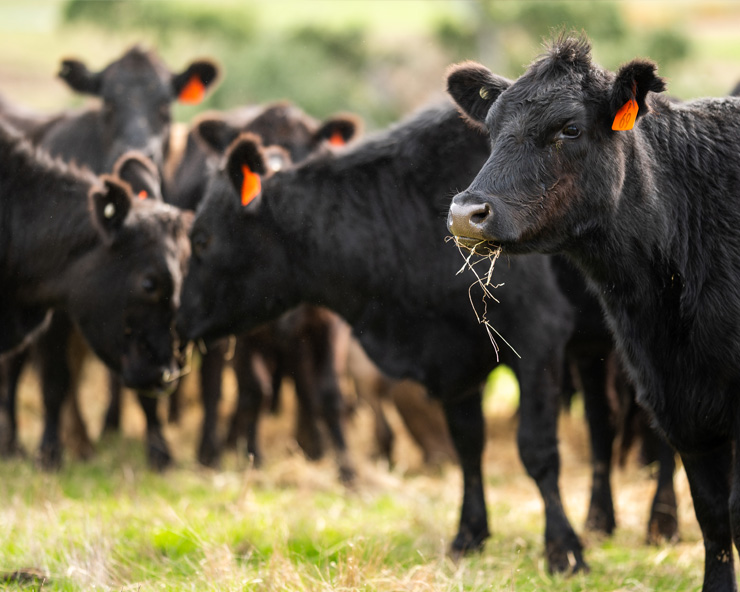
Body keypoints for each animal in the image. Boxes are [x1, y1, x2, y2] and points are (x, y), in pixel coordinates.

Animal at [178, 104, 584, 572]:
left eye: (201, 239)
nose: (177, 315)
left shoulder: (539, 337)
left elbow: (537, 449)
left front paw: (563, 548)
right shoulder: (456, 360)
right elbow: (468, 445)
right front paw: (469, 534)